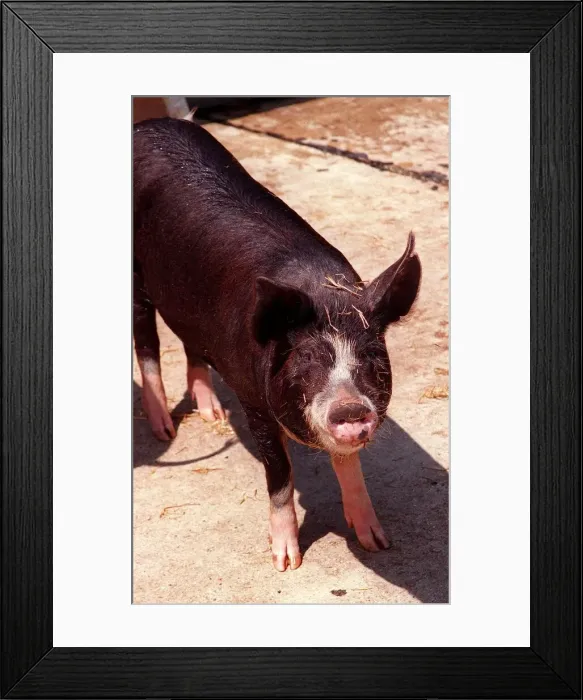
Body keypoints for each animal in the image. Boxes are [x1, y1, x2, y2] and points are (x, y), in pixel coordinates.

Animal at [133, 117, 421, 571]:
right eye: (305, 357)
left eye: (372, 356)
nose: (350, 409)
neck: (322, 293)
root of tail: (146, 124)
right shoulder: (255, 404)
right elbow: (281, 475)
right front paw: (287, 563)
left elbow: (348, 464)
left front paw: (377, 542)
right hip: (137, 278)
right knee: (145, 338)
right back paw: (164, 431)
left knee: (190, 341)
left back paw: (212, 414)